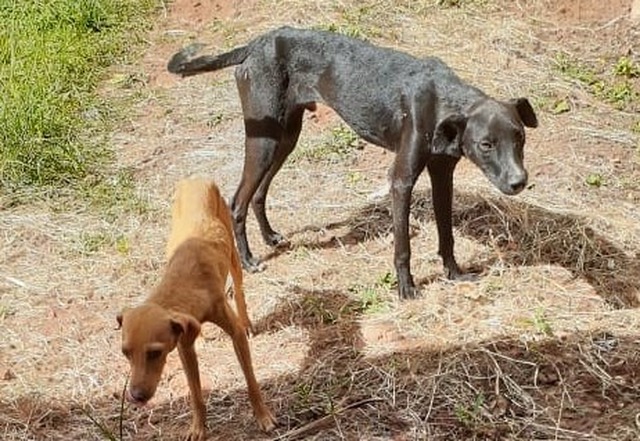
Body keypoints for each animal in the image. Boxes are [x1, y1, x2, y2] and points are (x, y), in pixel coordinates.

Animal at [117, 178, 276, 440]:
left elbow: (251, 381)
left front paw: (263, 417)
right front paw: (198, 428)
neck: (183, 284)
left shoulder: (235, 335)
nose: (136, 397)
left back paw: (247, 320)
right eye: (125, 353)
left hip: (233, 254)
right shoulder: (184, 347)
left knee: (239, 289)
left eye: (155, 353)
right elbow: (195, 393)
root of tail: (195, 178)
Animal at [168, 25, 536, 298]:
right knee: (237, 202)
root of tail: (255, 44)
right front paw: (406, 289)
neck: (443, 100)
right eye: (486, 144)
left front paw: (454, 273)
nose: (519, 182)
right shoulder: (401, 180)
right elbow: (403, 246)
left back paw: (270, 237)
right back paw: (247, 260)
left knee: (259, 193)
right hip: (264, 141)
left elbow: (447, 234)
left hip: (285, 138)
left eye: (519, 137)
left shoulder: (442, 176)